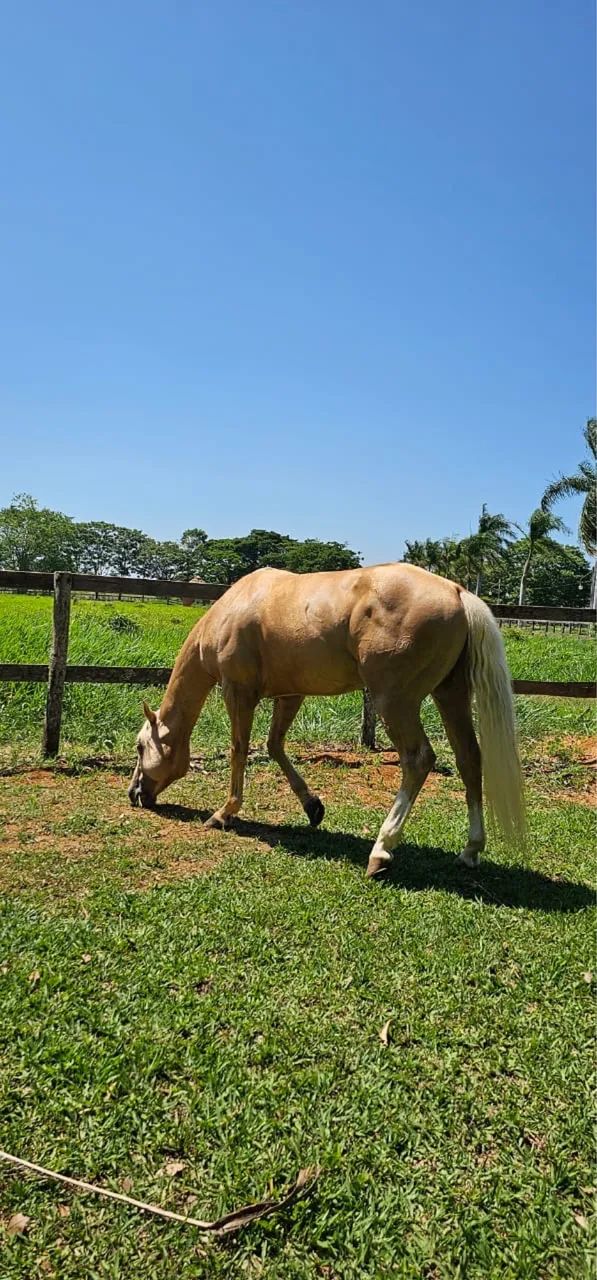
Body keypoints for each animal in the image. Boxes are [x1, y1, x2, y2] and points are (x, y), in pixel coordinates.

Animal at [128, 563, 525, 876]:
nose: (134, 794)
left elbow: (240, 750)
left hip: (395, 702)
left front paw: (225, 813)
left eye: (140, 747)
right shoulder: (290, 696)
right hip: (450, 695)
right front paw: (312, 807)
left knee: (418, 759)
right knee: (469, 758)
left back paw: (381, 850)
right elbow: (275, 746)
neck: (235, 607)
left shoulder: (237, 692)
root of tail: (457, 592)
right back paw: (470, 850)